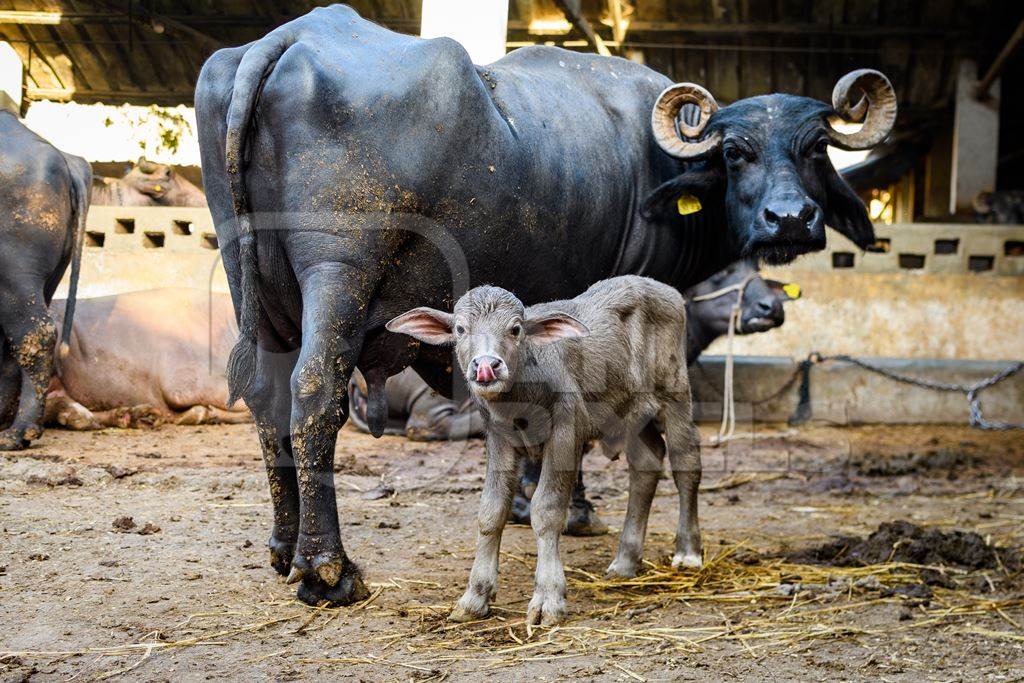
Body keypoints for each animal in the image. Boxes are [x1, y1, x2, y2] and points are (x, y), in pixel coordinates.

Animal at [193, 3, 897, 602]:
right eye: (735, 151)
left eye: (815, 147)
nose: (790, 218)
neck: (655, 167)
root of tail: (293, 35)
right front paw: (576, 508)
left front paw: (527, 501)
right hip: (338, 272)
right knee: (314, 394)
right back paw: (327, 569)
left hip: (249, 283)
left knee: (266, 398)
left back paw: (284, 546)